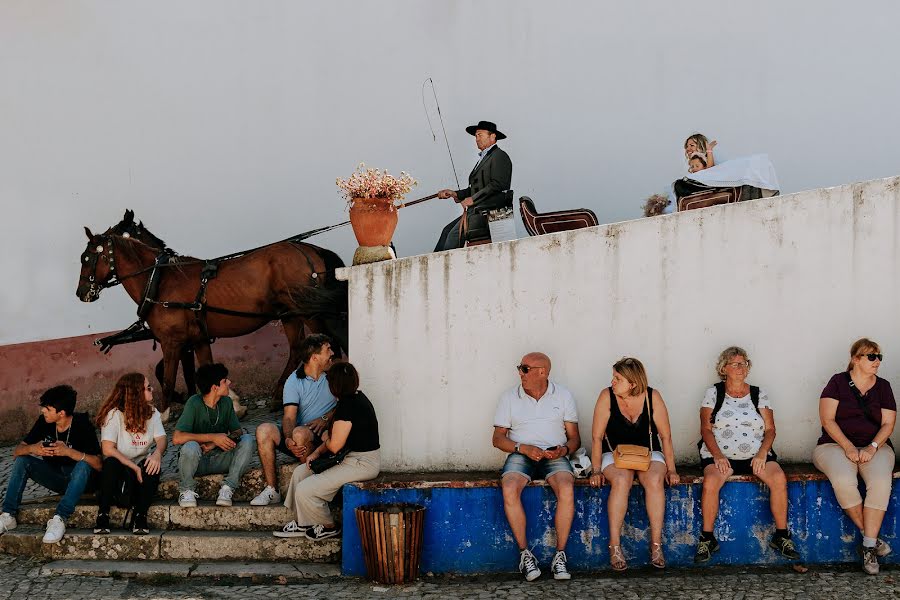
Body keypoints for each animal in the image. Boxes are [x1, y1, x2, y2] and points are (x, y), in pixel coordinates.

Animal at [76, 224, 348, 412]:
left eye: (88, 258)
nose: (82, 293)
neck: (160, 282)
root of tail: (309, 249)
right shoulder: (198, 340)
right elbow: (206, 370)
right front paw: (232, 404)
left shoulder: (172, 342)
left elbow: (167, 379)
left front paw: (164, 417)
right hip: (290, 315)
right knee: (298, 350)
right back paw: (278, 395)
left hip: (309, 312)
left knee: (330, 343)